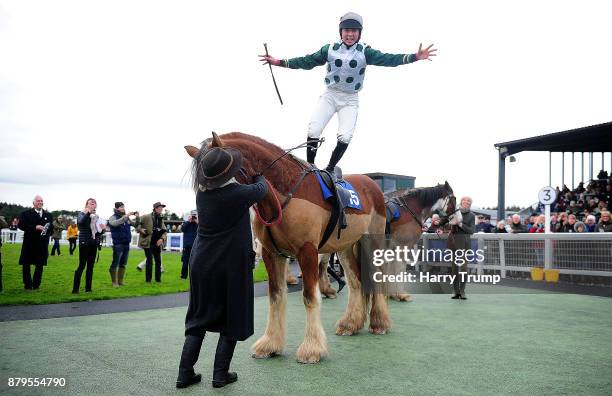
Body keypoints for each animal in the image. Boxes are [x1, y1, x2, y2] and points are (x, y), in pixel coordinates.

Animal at [184, 131, 390, 364]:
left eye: (222, 184)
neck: (285, 193)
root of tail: (371, 185)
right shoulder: (271, 254)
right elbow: (275, 296)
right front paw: (269, 345)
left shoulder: (307, 251)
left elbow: (310, 296)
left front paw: (312, 349)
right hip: (345, 247)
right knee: (356, 282)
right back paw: (351, 324)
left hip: (371, 243)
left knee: (375, 278)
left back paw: (379, 323)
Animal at [320, 184, 454, 302]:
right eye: (454, 198)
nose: (450, 221)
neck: (410, 209)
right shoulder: (402, 246)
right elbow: (399, 269)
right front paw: (400, 295)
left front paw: (391, 294)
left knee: (323, 264)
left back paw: (327, 291)